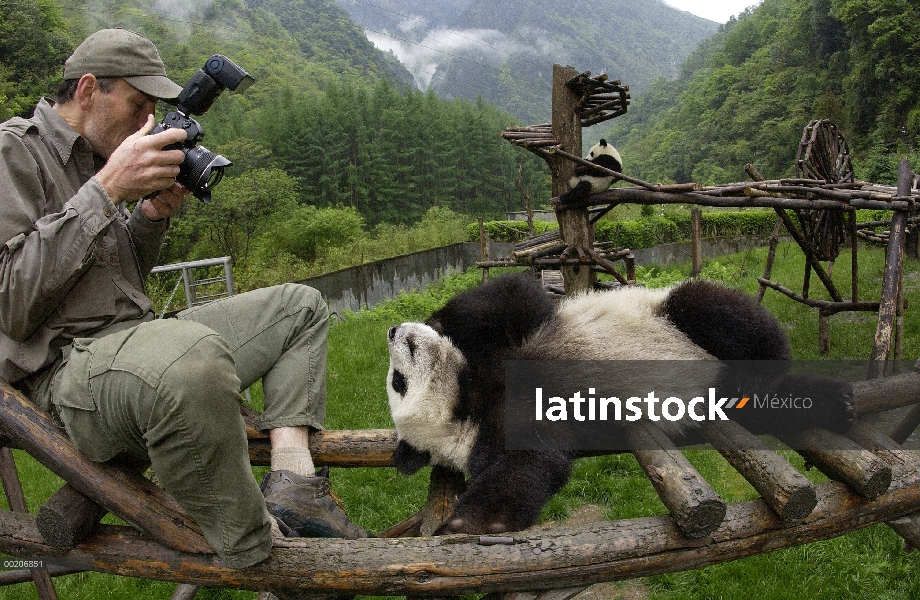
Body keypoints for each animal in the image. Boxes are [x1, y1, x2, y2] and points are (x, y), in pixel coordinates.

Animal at [384, 274, 860, 536]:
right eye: (398, 382)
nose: (393, 331)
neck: (473, 398)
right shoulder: (501, 424)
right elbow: (529, 461)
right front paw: (477, 521)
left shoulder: (507, 348)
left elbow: (512, 298)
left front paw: (438, 319)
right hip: (732, 401)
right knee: (765, 404)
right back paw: (832, 402)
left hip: (671, 317)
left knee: (715, 311)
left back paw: (766, 363)